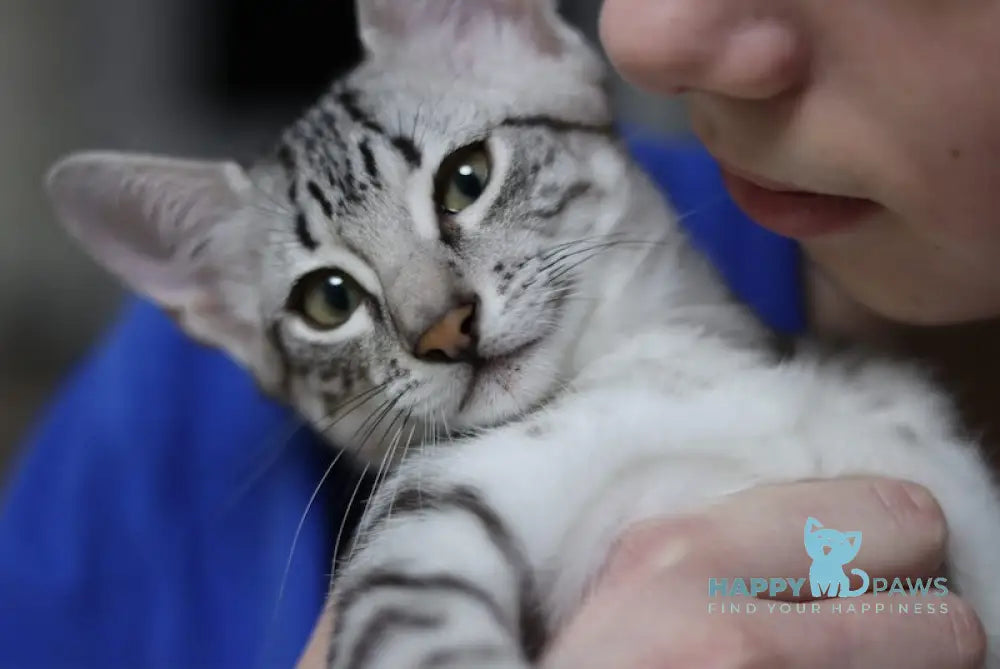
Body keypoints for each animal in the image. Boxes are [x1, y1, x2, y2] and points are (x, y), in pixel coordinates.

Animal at [43, 2, 1000, 664]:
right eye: (327, 299)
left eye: (465, 178)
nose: (442, 326)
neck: (671, 366)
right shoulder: (424, 517)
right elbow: (418, 628)